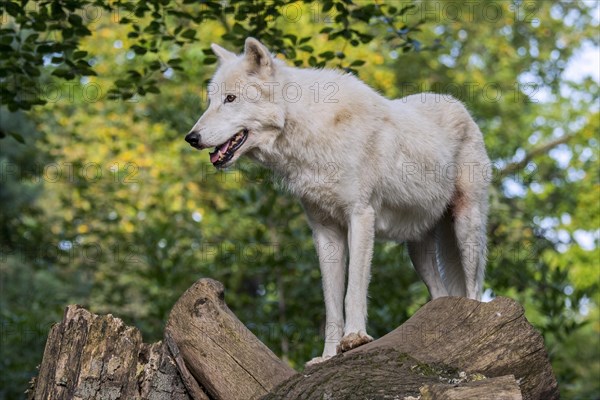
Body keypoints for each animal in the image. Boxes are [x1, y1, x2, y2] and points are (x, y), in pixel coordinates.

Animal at [188, 37, 492, 362]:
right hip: (417, 247)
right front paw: (328, 355)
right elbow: (331, 302)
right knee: (440, 292)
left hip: (466, 227)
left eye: (230, 98)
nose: (191, 138)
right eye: (210, 101)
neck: (311, 131)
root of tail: (459, 104)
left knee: (474, 288)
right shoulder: (325, 232)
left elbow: (353, 290)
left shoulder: (360, 216)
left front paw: (354, 338)